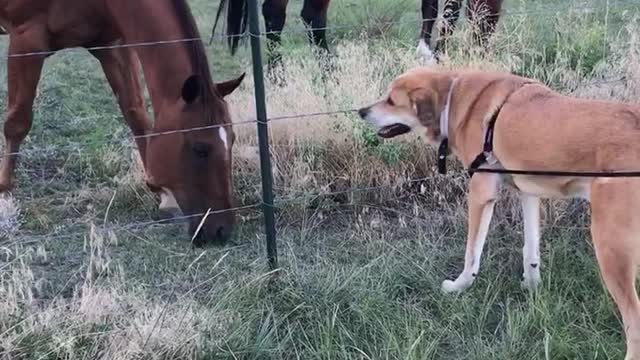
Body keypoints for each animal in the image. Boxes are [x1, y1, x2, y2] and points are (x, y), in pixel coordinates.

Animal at [0, 0, 245, 246]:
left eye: (233, 140)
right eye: (200, 149)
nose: (221, 230)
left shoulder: (112, 46)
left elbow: (137, 116)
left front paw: (165, 197)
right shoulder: (27, 40)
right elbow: (18, 122)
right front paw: (4, 193)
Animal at [358, 66, 640, 358]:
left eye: (391, 100)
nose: (361, 112)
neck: (452, 98)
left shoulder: (481, 193)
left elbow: (472, 255)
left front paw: (459, 287)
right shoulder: (527, 191)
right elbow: (530, 250)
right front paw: (531, 287)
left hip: (611, 245)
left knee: (634, 319)